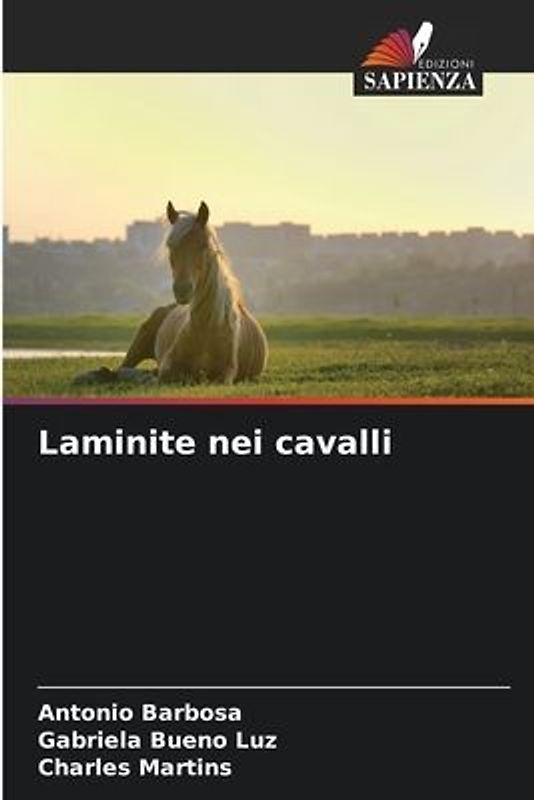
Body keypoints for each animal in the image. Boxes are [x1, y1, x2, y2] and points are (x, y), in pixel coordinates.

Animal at [118, 201, 268, 384]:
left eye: (203, 245)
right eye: (170, 246)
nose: (182, 290)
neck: (206, 328)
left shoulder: (226, 374)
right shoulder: (167, 367)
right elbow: (164, 376)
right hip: (138, 345)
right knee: (123, 368)